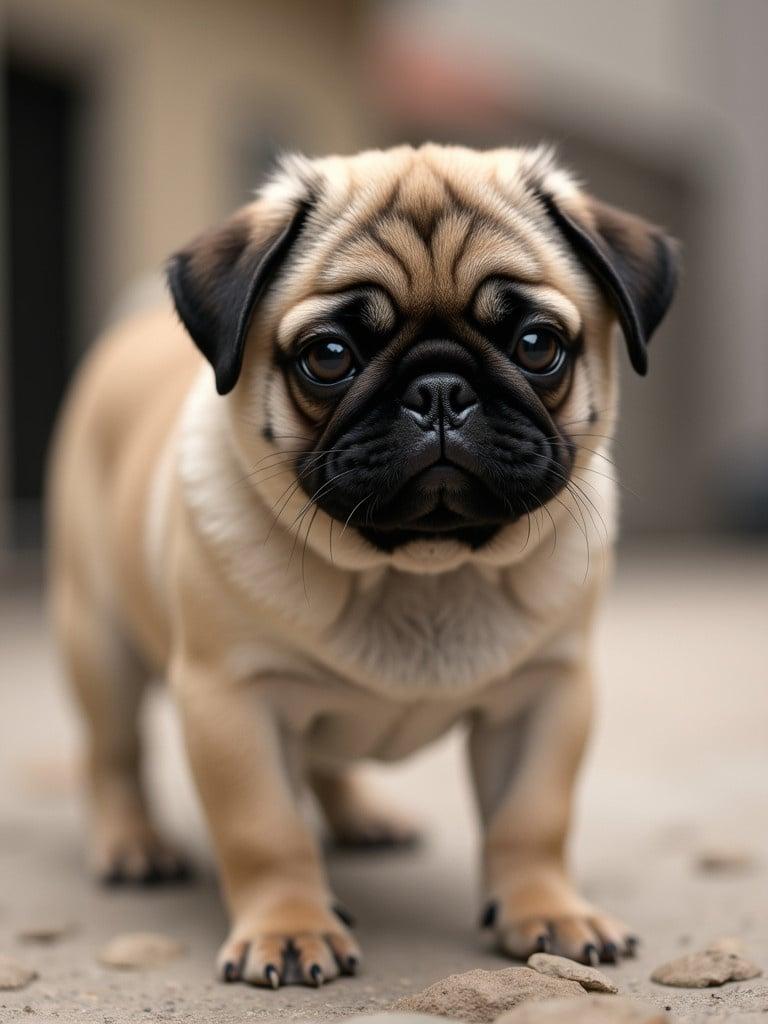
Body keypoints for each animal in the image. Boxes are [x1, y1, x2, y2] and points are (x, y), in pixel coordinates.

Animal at [46, 142, 679, 983]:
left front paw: (548, 912)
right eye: (329, 358)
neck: (420, 576)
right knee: (114, 754)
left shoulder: (547, 695)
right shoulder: (231, 701)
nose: (439, 389)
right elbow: (266, 828)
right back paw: (133, 846)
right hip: (99, 643)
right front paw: (289, 927)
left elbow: (532, 817)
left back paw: (365, 819)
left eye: (537, 345)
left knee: (326, 762)